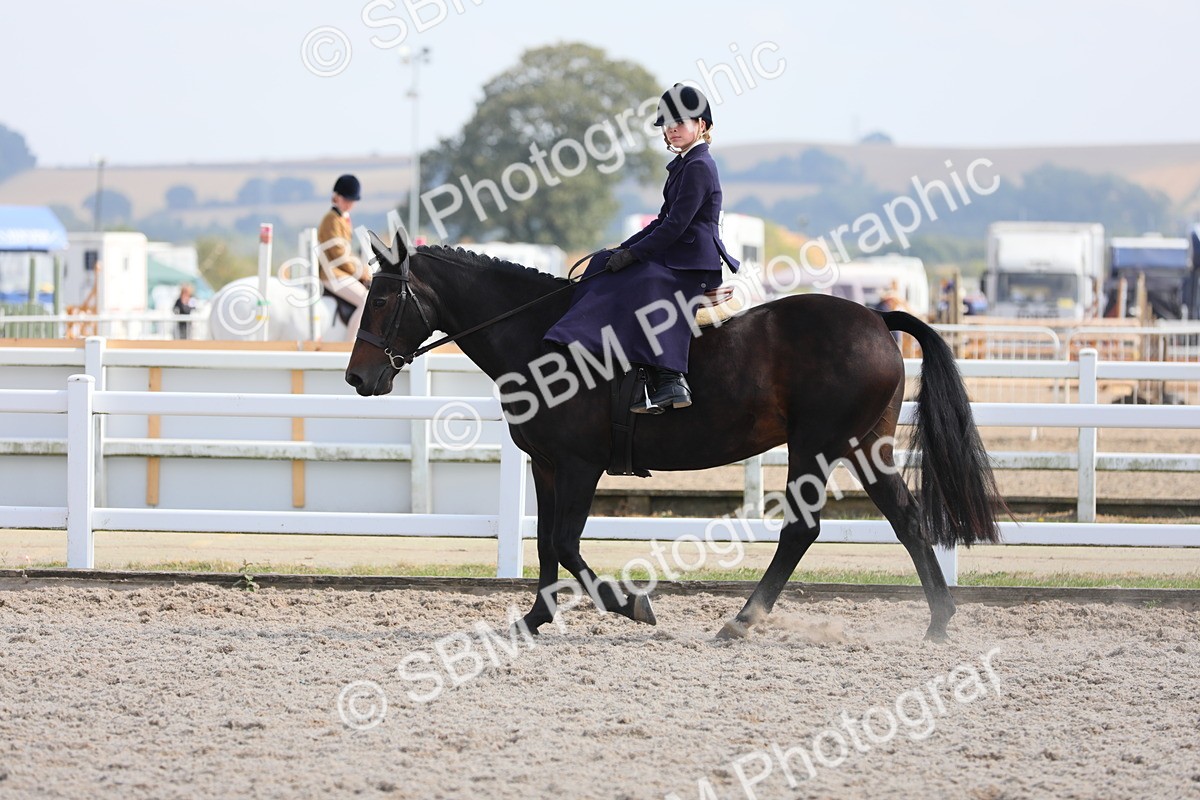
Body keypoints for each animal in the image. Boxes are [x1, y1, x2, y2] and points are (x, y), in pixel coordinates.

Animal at [345, 228, 1005, 641]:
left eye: (380, 299)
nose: (357, 377)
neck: (540, 335)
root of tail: (873, 315)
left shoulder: (581, 464)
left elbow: (566, 544)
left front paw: (633, 605)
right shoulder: (548, 464)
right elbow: (546, 545)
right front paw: (535, 620)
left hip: (815, 446)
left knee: (802, 529)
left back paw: (741, 621)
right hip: (867, 447)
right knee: (907, 520)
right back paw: (938, 622)